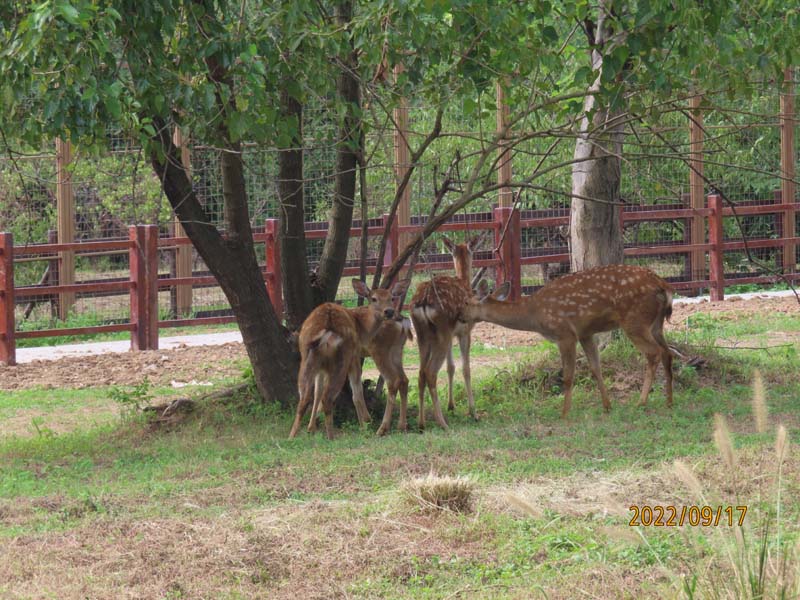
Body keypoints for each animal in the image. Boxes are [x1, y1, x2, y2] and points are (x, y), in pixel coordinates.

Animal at [290, 278, 410, 440]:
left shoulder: (351, 356)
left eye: (392, 298)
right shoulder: (349, 358)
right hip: (388, 352)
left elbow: (351, 392)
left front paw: (365, 423)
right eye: (374, 298)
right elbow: (324, 391)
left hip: (350, 355)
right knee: (401, 380)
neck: (362, 327)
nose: (389, 311)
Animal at [466, 264, 672, 420]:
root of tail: (662, 284)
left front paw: (564, 413)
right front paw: (607, 406)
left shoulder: (564, 333)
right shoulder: (585, 333)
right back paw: (669, 401)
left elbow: (568, 376)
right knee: (667, 352)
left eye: (466, 302)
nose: (460, 316)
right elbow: (595, 368)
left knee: (654, 352)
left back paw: (641, 401)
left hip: (634, 320)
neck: (534, 314)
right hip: (656, 324)